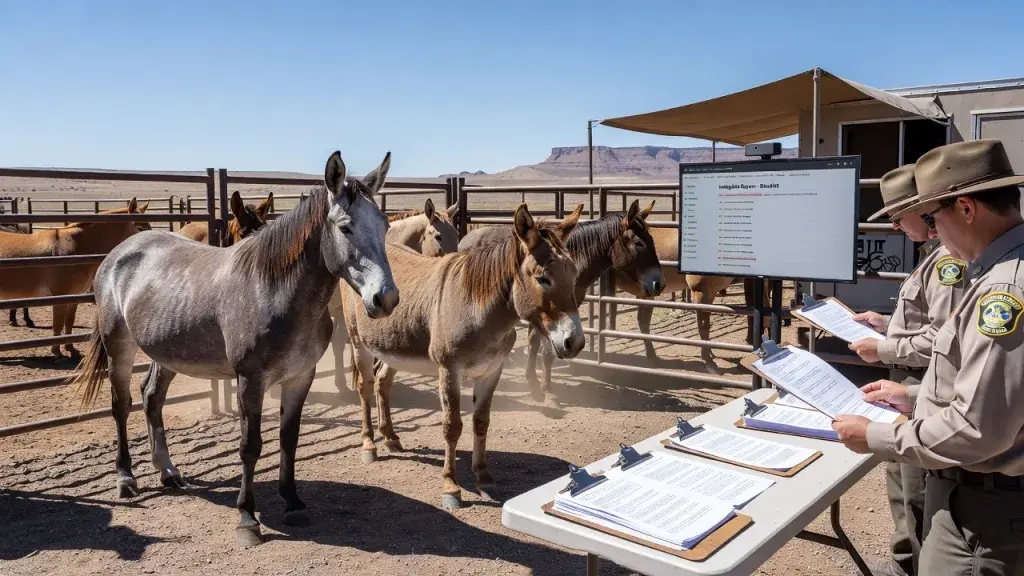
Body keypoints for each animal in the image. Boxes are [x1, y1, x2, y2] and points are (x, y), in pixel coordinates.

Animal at [0, 199, 152, 358]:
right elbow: (58, 324)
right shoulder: (59, 297)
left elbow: (69, 321)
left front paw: (70, 348)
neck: (73, 246)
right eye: (139, 228)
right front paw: (57, 352)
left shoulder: (74, 296)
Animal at [74, 150, 399, 548]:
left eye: (384, 226)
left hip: (167, 351)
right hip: (118, 345)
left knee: (151, 397)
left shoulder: (299, 377)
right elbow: (250, 445)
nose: (385, 299)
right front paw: (247, 518)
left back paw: (168, 471)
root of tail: (121, 252)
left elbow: (288, 439)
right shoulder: (250, 381)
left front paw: (293, 502)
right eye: (345, 227)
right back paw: (126, 478)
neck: (273, 291)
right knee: (121, 406)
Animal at [340, 204, 585, 511]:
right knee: (365, 387)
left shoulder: (492, 370)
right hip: (358, 340)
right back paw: (369, 445)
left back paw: (391, 438)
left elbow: (481, 422)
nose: (575, 342)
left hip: (394, 347)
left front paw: (484, 479)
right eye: (542, 278)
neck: (479, 310)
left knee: (383, 383)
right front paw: (451, 487)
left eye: (574, 275)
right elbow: (452, 426)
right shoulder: (449, 371)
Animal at [459, 200, 664, 405]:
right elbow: (547, 349)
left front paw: (534, 381)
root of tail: (466, 238)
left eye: (652, 240)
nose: (659, 284)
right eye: (638, 243)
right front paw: (545, 387)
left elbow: (535, 344)